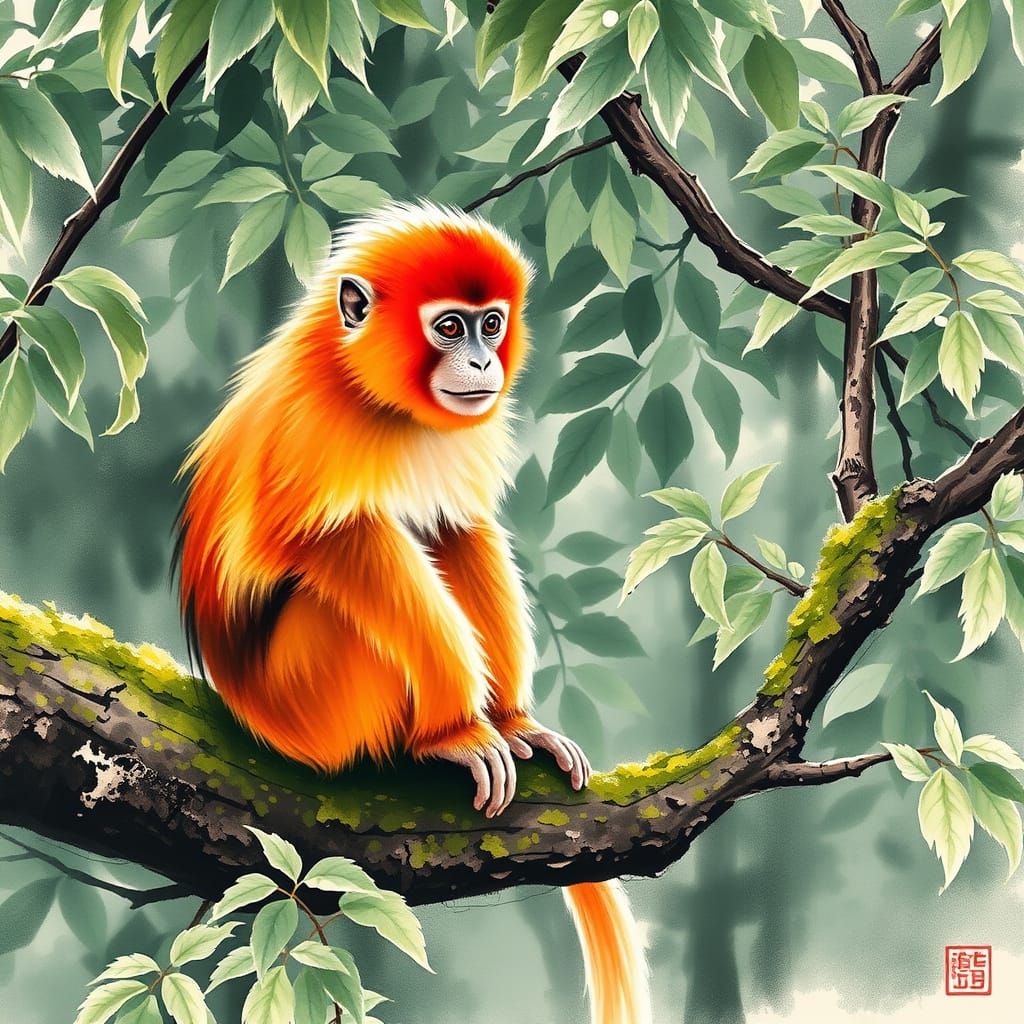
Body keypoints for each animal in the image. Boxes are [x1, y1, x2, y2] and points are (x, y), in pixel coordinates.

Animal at [174, 202, 650, 1024]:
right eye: (449, 328)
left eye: (491, 324)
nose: (483, 365)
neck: (373, 393)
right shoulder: (316, 428)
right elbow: (336, 541)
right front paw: (457, 732)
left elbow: (460, 528)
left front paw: (515, 722)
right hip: (313, 701)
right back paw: (428, 742)